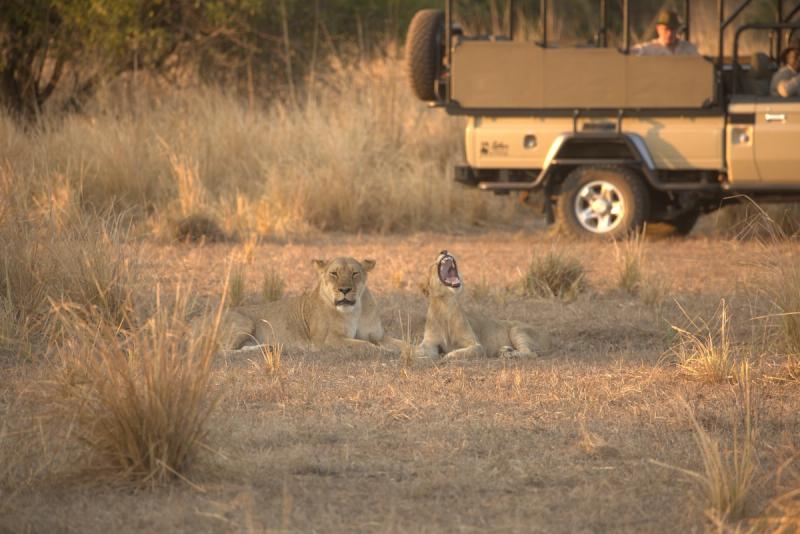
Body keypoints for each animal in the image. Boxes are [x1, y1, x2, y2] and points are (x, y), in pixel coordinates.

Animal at [214, 257, 405, 353]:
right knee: (224, 351)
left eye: (355, 273)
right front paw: (386, 352)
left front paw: (409, 351)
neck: (355, 311)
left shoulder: (379, 335)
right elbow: (366, 345)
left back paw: (269, 347)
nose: (344, 290)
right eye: (334, 273)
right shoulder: (327, 340)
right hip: (244, 322)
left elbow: (404, 343)